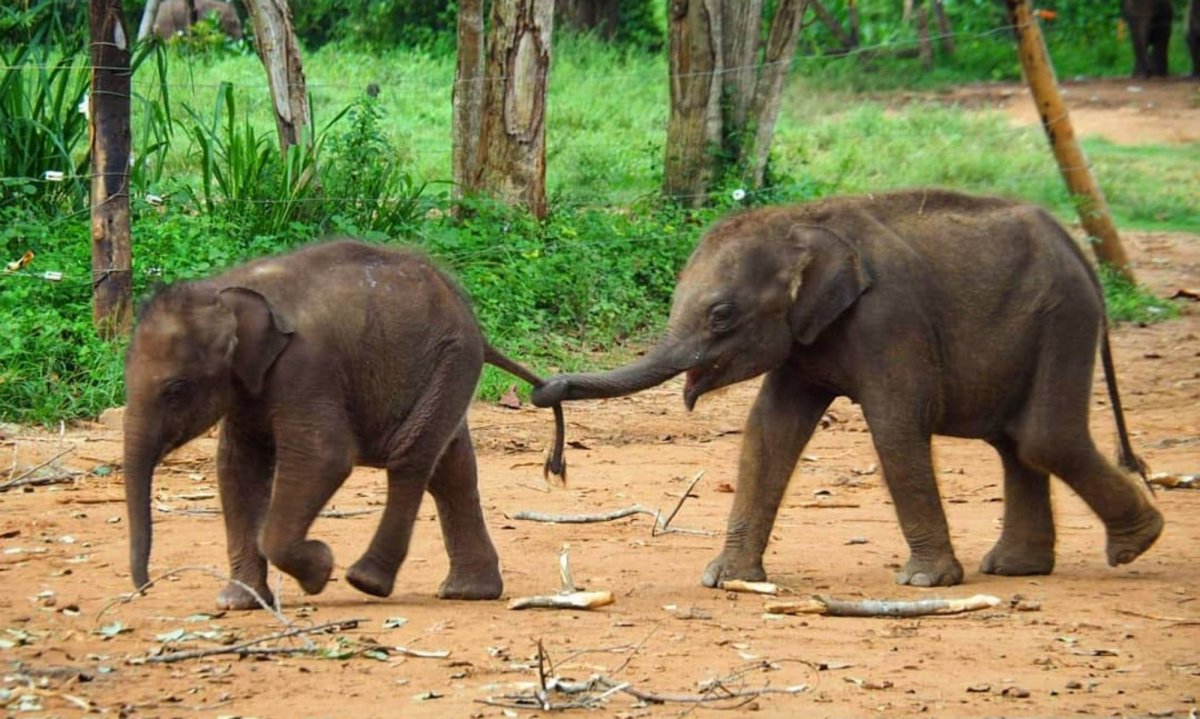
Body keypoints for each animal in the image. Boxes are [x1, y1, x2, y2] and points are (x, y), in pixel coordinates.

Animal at [123, 240, 566, 609]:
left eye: (175, 390)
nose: (145, 588)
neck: (226, 288)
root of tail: (474, 322)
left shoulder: (306, 366)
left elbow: (325, 457)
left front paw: (319, 571)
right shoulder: (249, 387)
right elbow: (237, 469)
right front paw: (239, 603)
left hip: (451, 359)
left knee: (411, 458)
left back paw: (366, 581)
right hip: (446, 370)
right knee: (451, 468)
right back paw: (468, 592)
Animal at [532, 189, 1163, 589]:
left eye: (720, 315)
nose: (544, 390)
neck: (799, 222)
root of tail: (1076, 245)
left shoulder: (889, 321)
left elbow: (895, 424)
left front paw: (924, 581)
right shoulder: (804, 341)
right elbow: (768, 431)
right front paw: (725, 580)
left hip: (1064, 317)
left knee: (1042, 438)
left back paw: (1136, 545)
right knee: (1015, 444)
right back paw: (1017, 567)